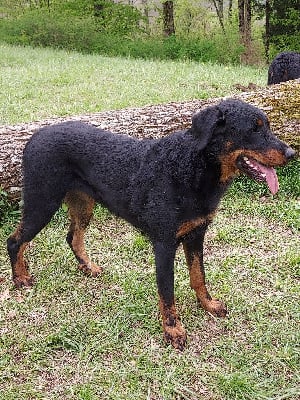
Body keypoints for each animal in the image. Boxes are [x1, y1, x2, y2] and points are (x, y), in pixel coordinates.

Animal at [7, 100, 296, 350]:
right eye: (254, 129)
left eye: (267, 125)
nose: (292, 153)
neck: (192, 167)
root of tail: (34, 137)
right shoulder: (164, 243)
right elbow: (167, 292)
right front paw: (173, 330)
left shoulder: (196, 234)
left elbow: (198, 276)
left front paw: (209, 305)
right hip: (42, 202)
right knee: (15, 240)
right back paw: (20, 278)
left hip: (82, 203)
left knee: (72, 237)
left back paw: (88, 267)